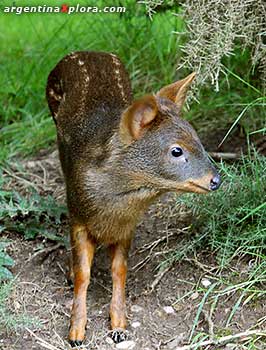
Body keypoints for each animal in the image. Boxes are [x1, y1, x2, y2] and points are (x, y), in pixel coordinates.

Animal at [46, 50, 220, 346]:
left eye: (198, 139)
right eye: (176, 150)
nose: (215, 180)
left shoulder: (127, 226)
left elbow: (120, 270)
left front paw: (119, 325)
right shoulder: (78, 215)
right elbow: (83, 273)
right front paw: (76, 331)